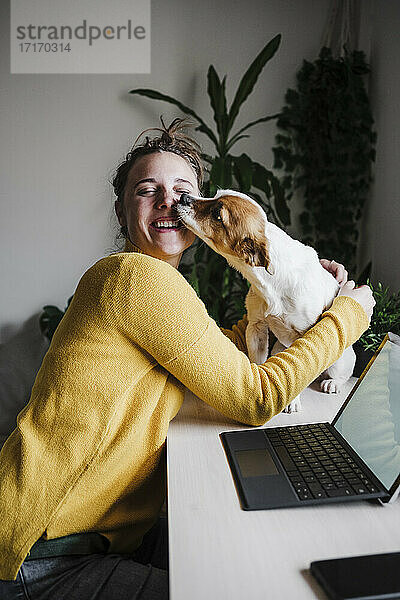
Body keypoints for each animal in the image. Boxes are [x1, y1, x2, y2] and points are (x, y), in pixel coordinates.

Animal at [177, 189, 354, 412]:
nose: (183, 197)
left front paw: (292, 401)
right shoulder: (256, 327)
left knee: (341, 374)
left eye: (217, 215)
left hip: (339, 361)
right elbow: (260, 364)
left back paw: (333, 382)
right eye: (215, 194)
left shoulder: (304, 333)